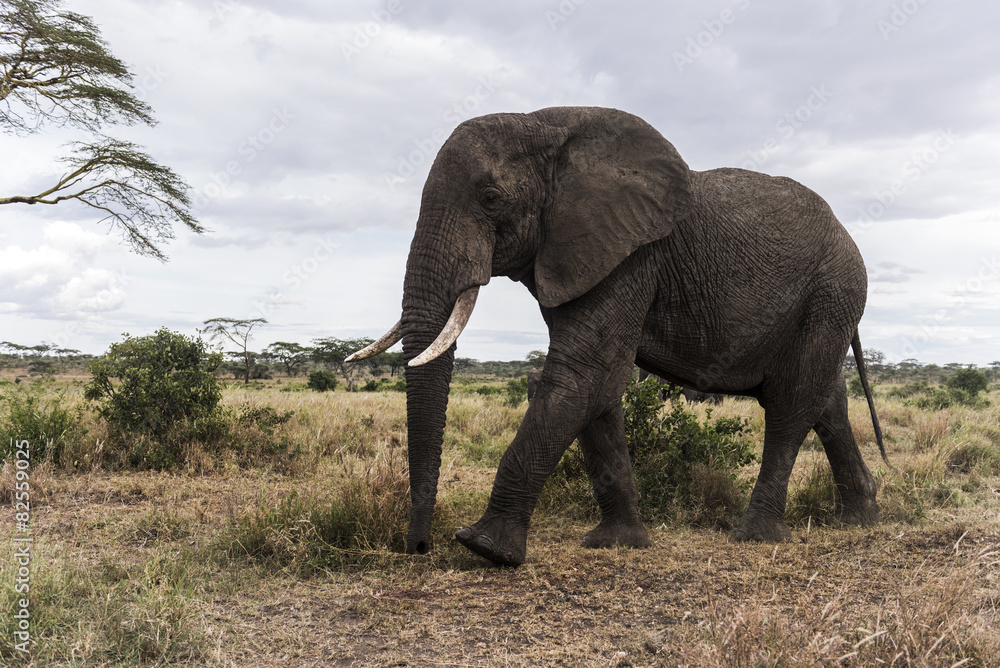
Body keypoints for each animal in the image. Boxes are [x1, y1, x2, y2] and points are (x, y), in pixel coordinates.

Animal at [349, 106, 887, 567]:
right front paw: (618, 544)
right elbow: (599, 390)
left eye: (491, 198)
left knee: (792, 403)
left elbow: (587, 376)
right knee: (827, 400)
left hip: (831, 292)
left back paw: (757, 536)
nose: (419, 546)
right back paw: (860, 519)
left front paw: (485, 548)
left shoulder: (629, 257)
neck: (544, 125)